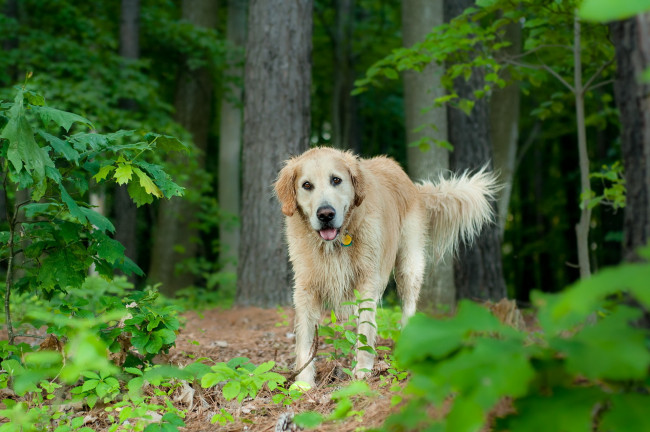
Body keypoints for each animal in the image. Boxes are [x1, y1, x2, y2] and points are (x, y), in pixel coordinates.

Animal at [274, 147, 496, 386]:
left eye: (336, 180)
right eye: (307, 185)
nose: (325, 214)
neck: (335, 244)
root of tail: (411, 183)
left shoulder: (368, 280)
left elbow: (365, 327)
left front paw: (362, 369)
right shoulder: (305, 287)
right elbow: (305, 337)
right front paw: (303, 383)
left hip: (409, 265)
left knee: (409, 308)